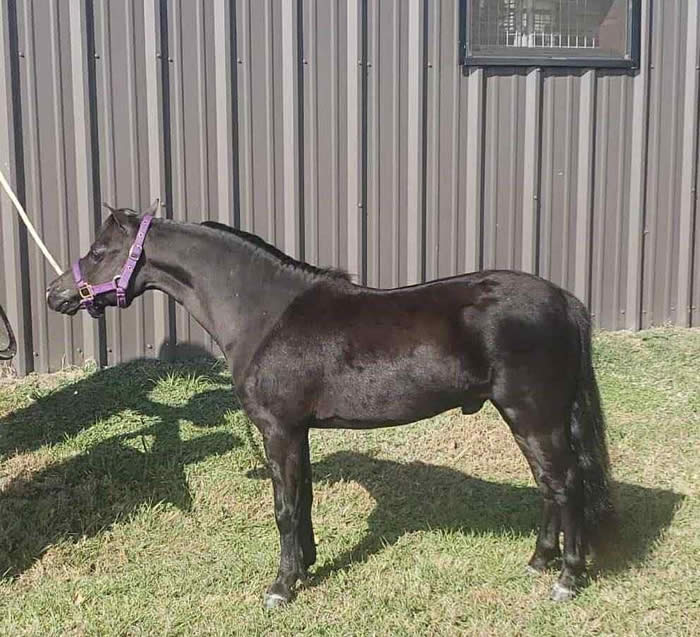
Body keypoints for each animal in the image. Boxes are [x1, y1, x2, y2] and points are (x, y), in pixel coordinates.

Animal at [47, 202, 616, 608]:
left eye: (98, 250)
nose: (55, 295)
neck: (263, 314)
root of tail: (564, 299)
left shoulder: (278, 430)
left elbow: (283, 507)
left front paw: (280, 587)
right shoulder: (298, 431)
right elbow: (304, 502)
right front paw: (307, 565)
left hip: (533, 415)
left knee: (564, 485)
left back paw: (566, 579)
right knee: (549, 485)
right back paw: (538, 561)